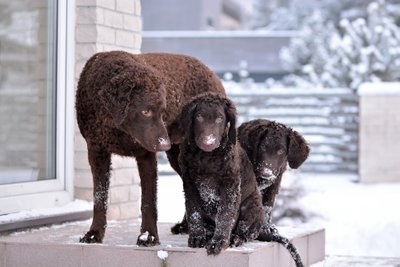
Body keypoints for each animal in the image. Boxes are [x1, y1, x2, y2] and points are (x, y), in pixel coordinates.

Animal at [75, 50, 225, 247]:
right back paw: (186, 226)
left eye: (163, 112)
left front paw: (148, 236)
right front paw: (94, 234)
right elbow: (99, 197)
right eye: (145, 111)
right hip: (178, 157)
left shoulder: (146, 155)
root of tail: (211, 73)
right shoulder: (96, 151)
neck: (114, 126)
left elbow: (148, 201)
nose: (164, 143)